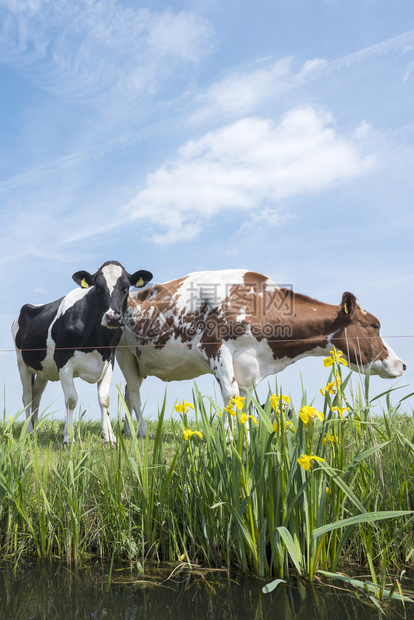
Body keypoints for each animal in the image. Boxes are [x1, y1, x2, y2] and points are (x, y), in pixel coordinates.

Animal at [12, 260, 152, 444]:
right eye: (98, 286)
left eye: (127, 287)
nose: (113, 318)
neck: (97, 341)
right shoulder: (63, 361)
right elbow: (71, 399)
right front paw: (68, 437)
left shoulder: (109, 360)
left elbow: (104, 399)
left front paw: (109, 437)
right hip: (22, 363)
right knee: (27, 397)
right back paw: (28, 431)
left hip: (43, 370)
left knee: (36, 396)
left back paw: (36, 430)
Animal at [117, 268, 408, 436]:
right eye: (374, 325)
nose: (403, 365)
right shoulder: (216, 348)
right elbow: (230, 396)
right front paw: (232, 440)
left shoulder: (248, 366)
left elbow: (243, 403)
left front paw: (240, 440)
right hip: (124, 355)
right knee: (135, 394)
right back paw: (141, 433)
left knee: (129, 393)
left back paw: (127, 431)